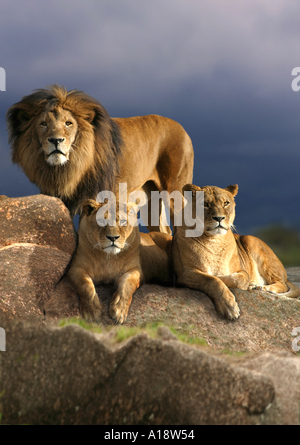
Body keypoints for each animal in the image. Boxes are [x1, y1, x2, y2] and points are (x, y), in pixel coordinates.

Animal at [7, 86, 195, 232]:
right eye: (43, 124)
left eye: (68, 123)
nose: (56, 140)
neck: (68, 168)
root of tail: (183, 129)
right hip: (151, 200)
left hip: (174, 191)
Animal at [172, 183, 298, 320]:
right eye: (205, 204)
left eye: (226, 203)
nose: (219, 218)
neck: (213, 240)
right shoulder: (185, 273)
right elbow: (212, 280)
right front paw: (229, 306)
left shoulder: (241, 270)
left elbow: (237, 279)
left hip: (250, 239)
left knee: (282, 284)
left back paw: (261, 287)